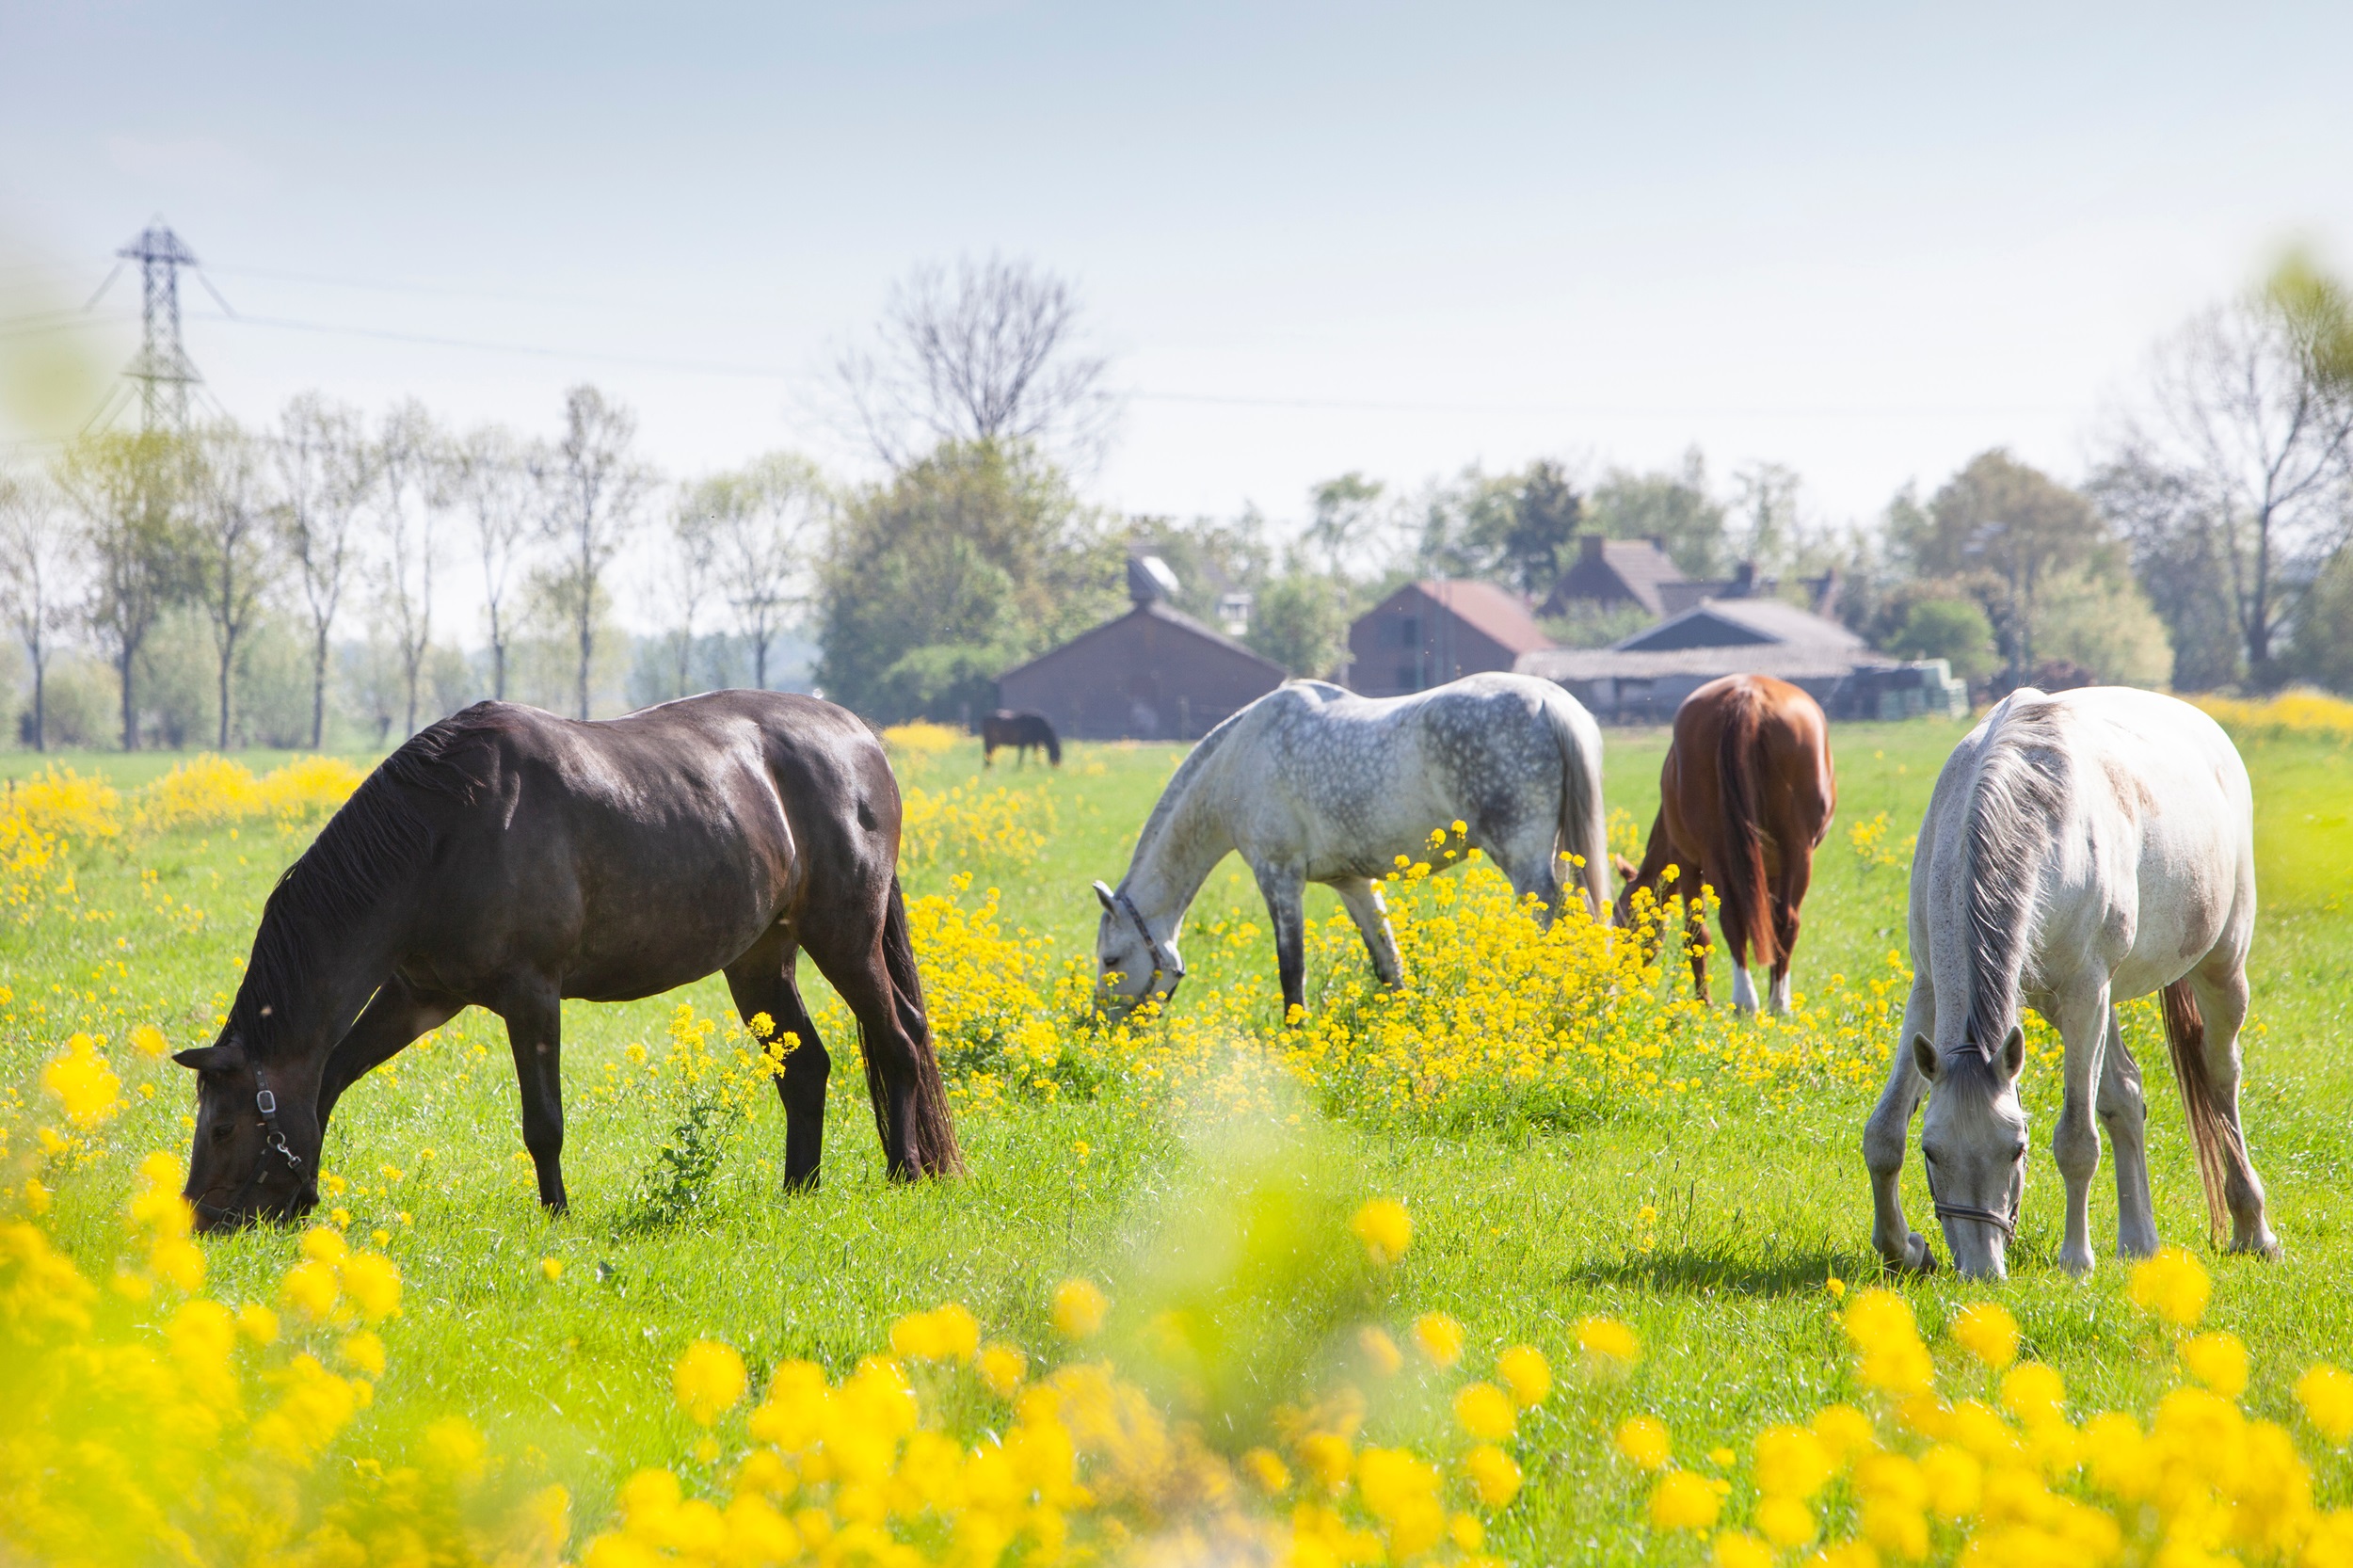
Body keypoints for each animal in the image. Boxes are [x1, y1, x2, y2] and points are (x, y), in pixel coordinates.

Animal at [173, 691, 961, 1232]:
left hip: (845, 938)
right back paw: (800, 1189)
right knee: (807, 1068)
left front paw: (557, 1216)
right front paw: (306, 1194)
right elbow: (330, 1079)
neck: (444, 831)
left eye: (222, 1128)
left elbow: (542, 1123)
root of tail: (861, 739)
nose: (201, 1223)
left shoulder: (531, 994)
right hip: (760, 960)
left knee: (899, 1040)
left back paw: (906, 1174)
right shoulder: (418, 996)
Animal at [1090, 672, 1609, 1020]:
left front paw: (1294, 1041)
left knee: (1553, 923)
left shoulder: (1278, 877)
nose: (1100, 1027)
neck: (1242, 759)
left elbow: (1291, 971)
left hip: (1523, 859)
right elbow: (1389, 966)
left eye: (1111, 959)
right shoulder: (1354, 882)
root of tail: (1548, 702)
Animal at [1611, 674, 1835, 1013]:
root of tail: (1748, 698)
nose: (1620, 979)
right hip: (1795, 848)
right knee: (1782, 919)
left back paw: (1745, 1001)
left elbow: (1695, 932)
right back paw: (1776, 1003)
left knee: (1729, 921)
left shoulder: (1687, 863)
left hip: (1717, 850)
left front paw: (1703, 1002)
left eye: (1625, 919)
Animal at [1862, 686, 2278, 1280]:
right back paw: (2139, 1242)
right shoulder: (1929, 992)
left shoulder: (2086, 993)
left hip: (2217, 969)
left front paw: (2076, 1259)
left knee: (2220, 1078)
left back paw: (2252, 1227)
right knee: (2125, 1092)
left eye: (2016, 1149)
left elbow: (2077, 1140)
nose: (1982, 1269)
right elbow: (1884, 1135)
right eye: (1932, 1152)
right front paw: (1904, 1249)